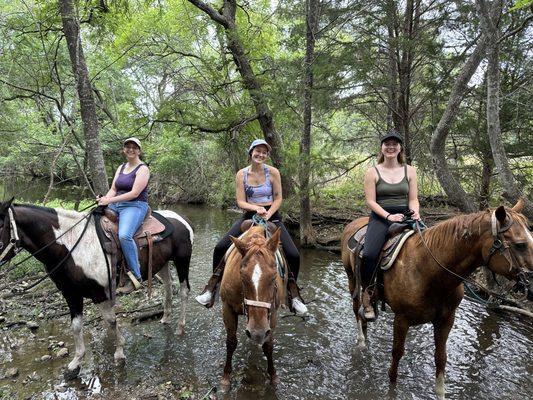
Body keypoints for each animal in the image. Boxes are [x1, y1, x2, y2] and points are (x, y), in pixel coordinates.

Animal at [0, 200, 193, 378]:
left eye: (0, 227)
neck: (71, 246)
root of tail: (180, 219)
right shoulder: (71, 294)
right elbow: (76, 326)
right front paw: (75, 363)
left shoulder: (99, 293)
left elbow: (111, 321)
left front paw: (119, 352)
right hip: (162, 264)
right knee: (168, 286)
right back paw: (165, 318)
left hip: (182, 261)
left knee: (184, 291)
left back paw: (180, 327)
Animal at [219, 227, 286, 390]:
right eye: (242, 277)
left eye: (274, 277)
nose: (257, 332)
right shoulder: (227, 307)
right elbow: (231, 342)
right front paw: (226, 377)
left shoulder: (272, 313)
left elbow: (268, 346)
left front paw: (273, 376)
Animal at [340, 202, 532, 398]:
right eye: (520, 245)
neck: (428, 271)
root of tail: (352, 223)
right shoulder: (401, 319)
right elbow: (396, 356)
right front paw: (391, 390)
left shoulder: (446, 319)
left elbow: (441, 358)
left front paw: (441, 393)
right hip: (351, 279)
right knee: (356, 308)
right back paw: (361, 341)